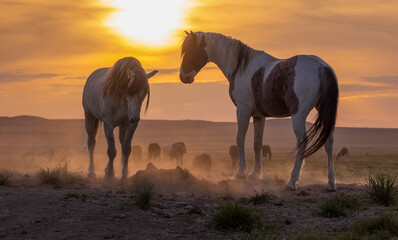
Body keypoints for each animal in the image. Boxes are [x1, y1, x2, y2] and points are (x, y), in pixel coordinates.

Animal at [180, 31, 338, 190]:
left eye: (191, 49)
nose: (183, 76)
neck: (241, 67)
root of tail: (322, 66)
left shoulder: (243, 110)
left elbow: (240, 138)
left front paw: (240, 173)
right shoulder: (259, 116)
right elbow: (257, 144)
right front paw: (255, 174)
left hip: (298, 115)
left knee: (302, 142)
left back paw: (292, 181)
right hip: (324, 113)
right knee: (329, 142)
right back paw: (331, 182)